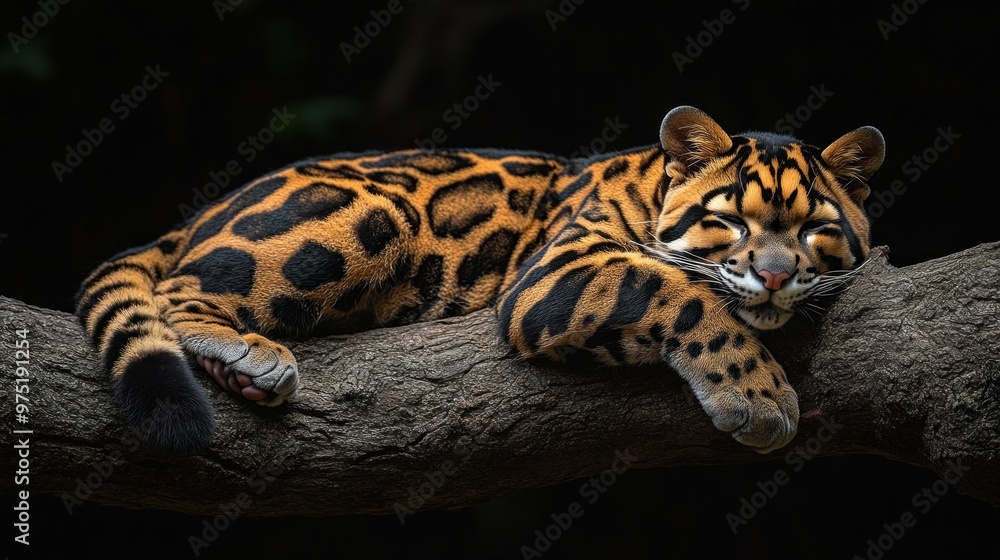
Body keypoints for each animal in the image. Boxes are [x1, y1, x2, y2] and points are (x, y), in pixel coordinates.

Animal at [75, 105, 884, 454]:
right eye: (730, 222)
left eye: (814, 231)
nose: (775, 277)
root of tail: (203, 212)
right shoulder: (553, 274)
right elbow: (676, 290)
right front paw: (760, 396)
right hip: (377, 208)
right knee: (178, 291)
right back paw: (249, 354)